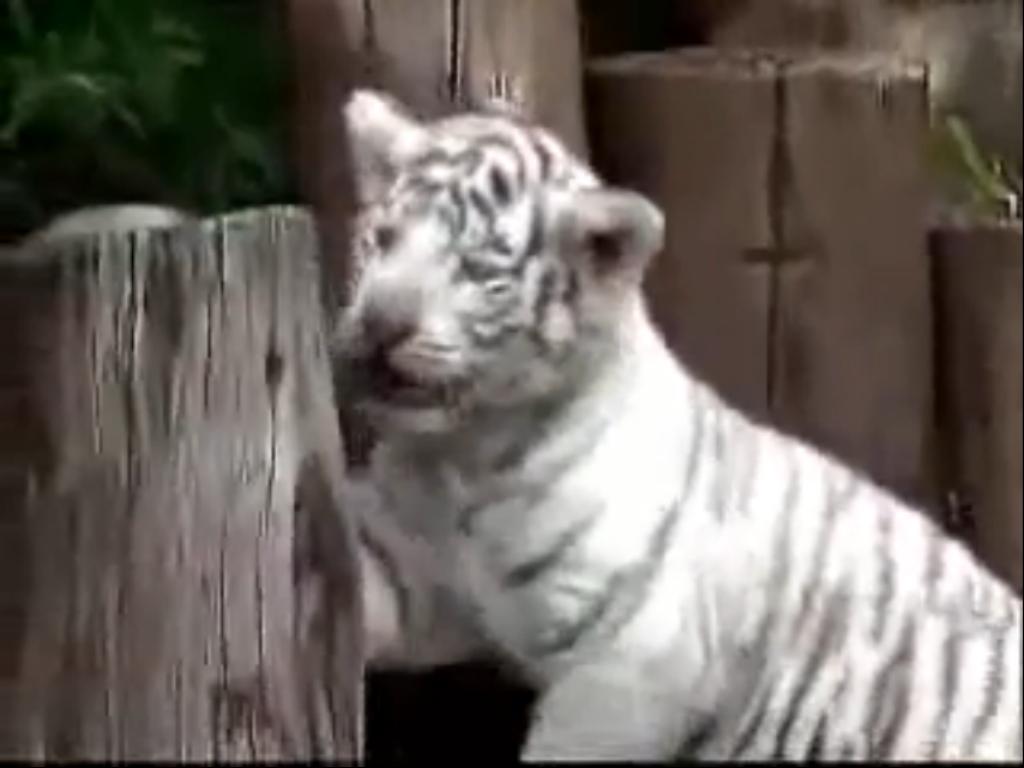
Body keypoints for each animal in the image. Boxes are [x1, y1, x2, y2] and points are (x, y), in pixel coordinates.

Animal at [333, 88, 1023, 761]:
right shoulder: (414, 567)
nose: (380, 325)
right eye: (383, 239)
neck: (466, 452)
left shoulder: (632, 662)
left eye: (477, 270)